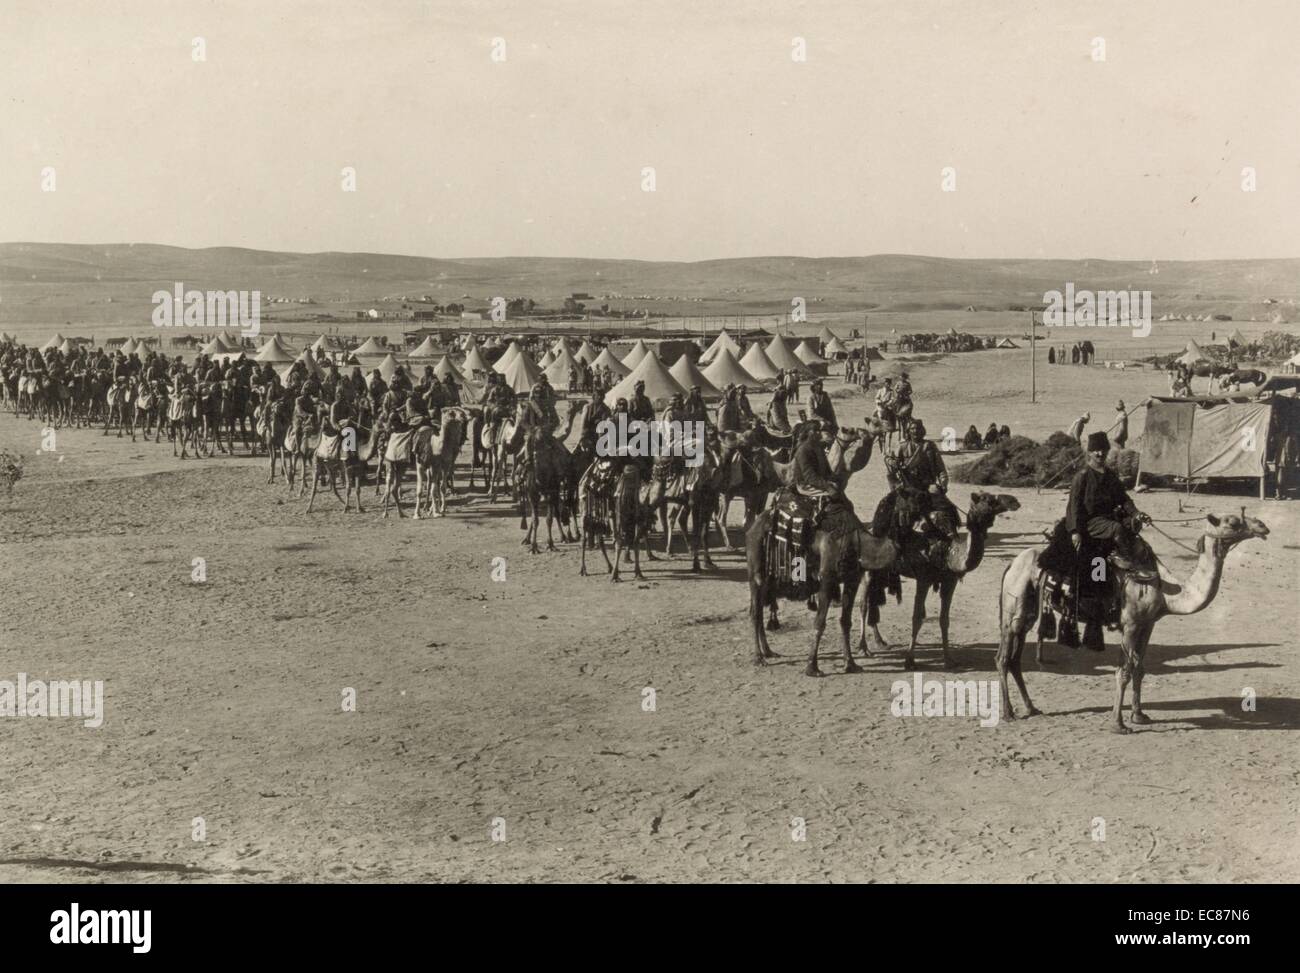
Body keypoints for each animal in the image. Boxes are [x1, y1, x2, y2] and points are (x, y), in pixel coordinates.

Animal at [863, 494, 1024, 671]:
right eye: (988, 499)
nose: (1014, 501)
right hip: (868, 569)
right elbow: (917, 618)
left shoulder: (949, 581)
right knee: (864, 603)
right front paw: (909, 661)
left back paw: (880, 641)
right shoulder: (924, 579)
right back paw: (864, 649)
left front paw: (949, 659)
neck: (948, 552)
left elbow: (944, 619)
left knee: (872, 601)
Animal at [993, 509, 1268, 728]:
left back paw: (1031, 708)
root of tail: (1011, 565)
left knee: (1015, 659)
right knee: (1003, 658)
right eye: (1232, 521)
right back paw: (1008, 713)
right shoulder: (1131, 624)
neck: (1166, 588)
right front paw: (1118, 723)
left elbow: (1139, 668)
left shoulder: (1148, 625)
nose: (1262, 526)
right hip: (1013, 607)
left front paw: (1139, 715)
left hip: (1028, 612)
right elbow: (1123, 671)